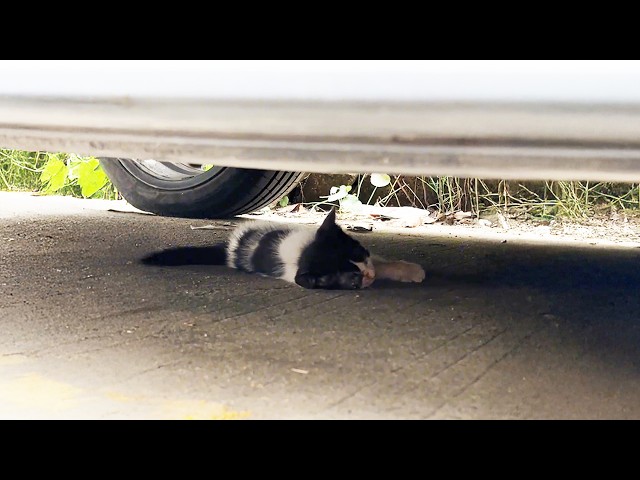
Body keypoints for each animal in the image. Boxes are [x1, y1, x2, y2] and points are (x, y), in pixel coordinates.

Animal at [143, 209, 428, 290]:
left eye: (357, 253)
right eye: (350, 278)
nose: (367, 276)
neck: (302, 252)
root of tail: (230, 247)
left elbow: (381, 260)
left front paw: (409, 270)